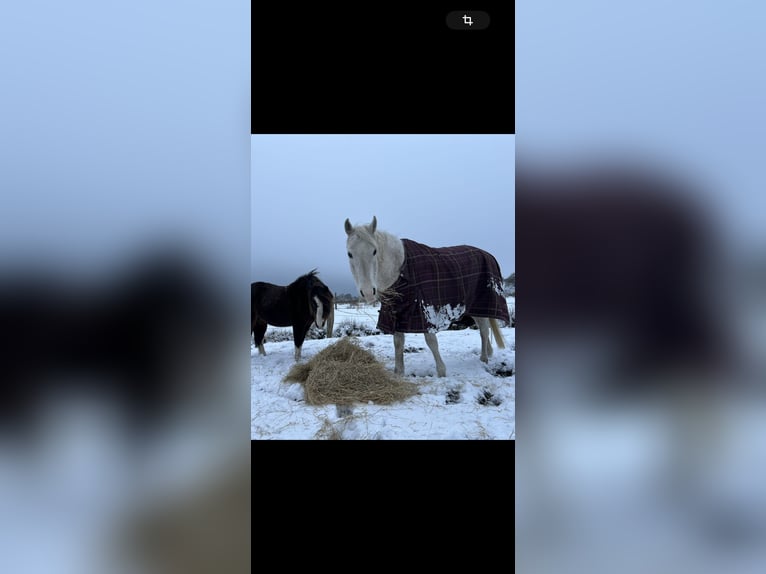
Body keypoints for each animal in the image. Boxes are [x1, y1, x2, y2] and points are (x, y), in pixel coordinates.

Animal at [346, 216, 510, 378]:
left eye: (374, 251)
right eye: (349, 254)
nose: (368, 292)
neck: (401, 271)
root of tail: (488, 254)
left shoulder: (425, 312)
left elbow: (431, 341)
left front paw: (441, 371)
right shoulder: (396, 314)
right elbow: (398, 342)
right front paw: (399, 372)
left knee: (484, 330)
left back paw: (484, 358)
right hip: (474, 306)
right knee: (484, 327)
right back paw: (488, 353)